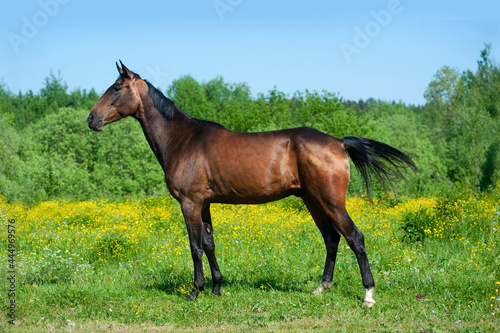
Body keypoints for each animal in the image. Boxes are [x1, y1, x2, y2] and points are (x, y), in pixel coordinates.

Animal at [88, 61, 416, 304]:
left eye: (116, 87)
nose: (92, 119)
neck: (183, 139)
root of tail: (338, 142)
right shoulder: (204, 203)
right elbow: (209, 243)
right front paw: (217, 288)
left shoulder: (190, 203)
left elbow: (194, 246)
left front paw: (196, 291)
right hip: (313, 201)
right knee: (331, 238)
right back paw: (321, 288)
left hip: (331, 201)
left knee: (354, 238)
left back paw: (368, 294)